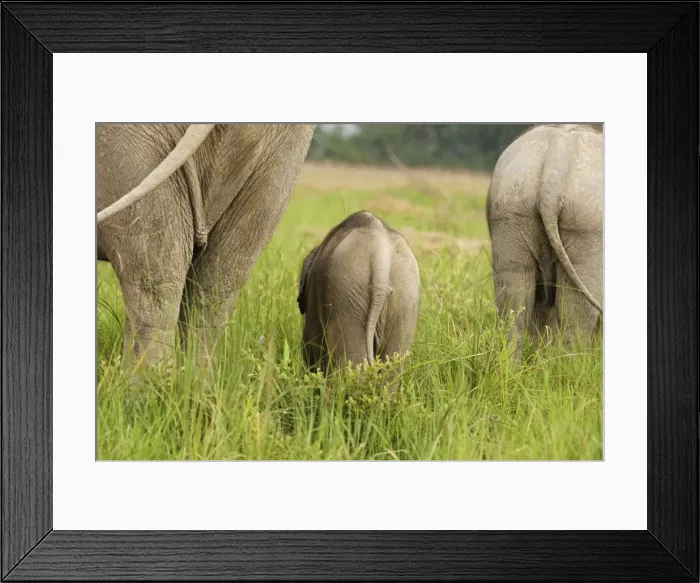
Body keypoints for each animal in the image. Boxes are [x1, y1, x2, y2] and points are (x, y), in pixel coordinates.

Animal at [297, 211, 420, 382]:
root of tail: (380, 256)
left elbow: (311, 341)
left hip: (347, 294)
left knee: (352, 363)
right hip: (406, 295)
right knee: (392, 366)